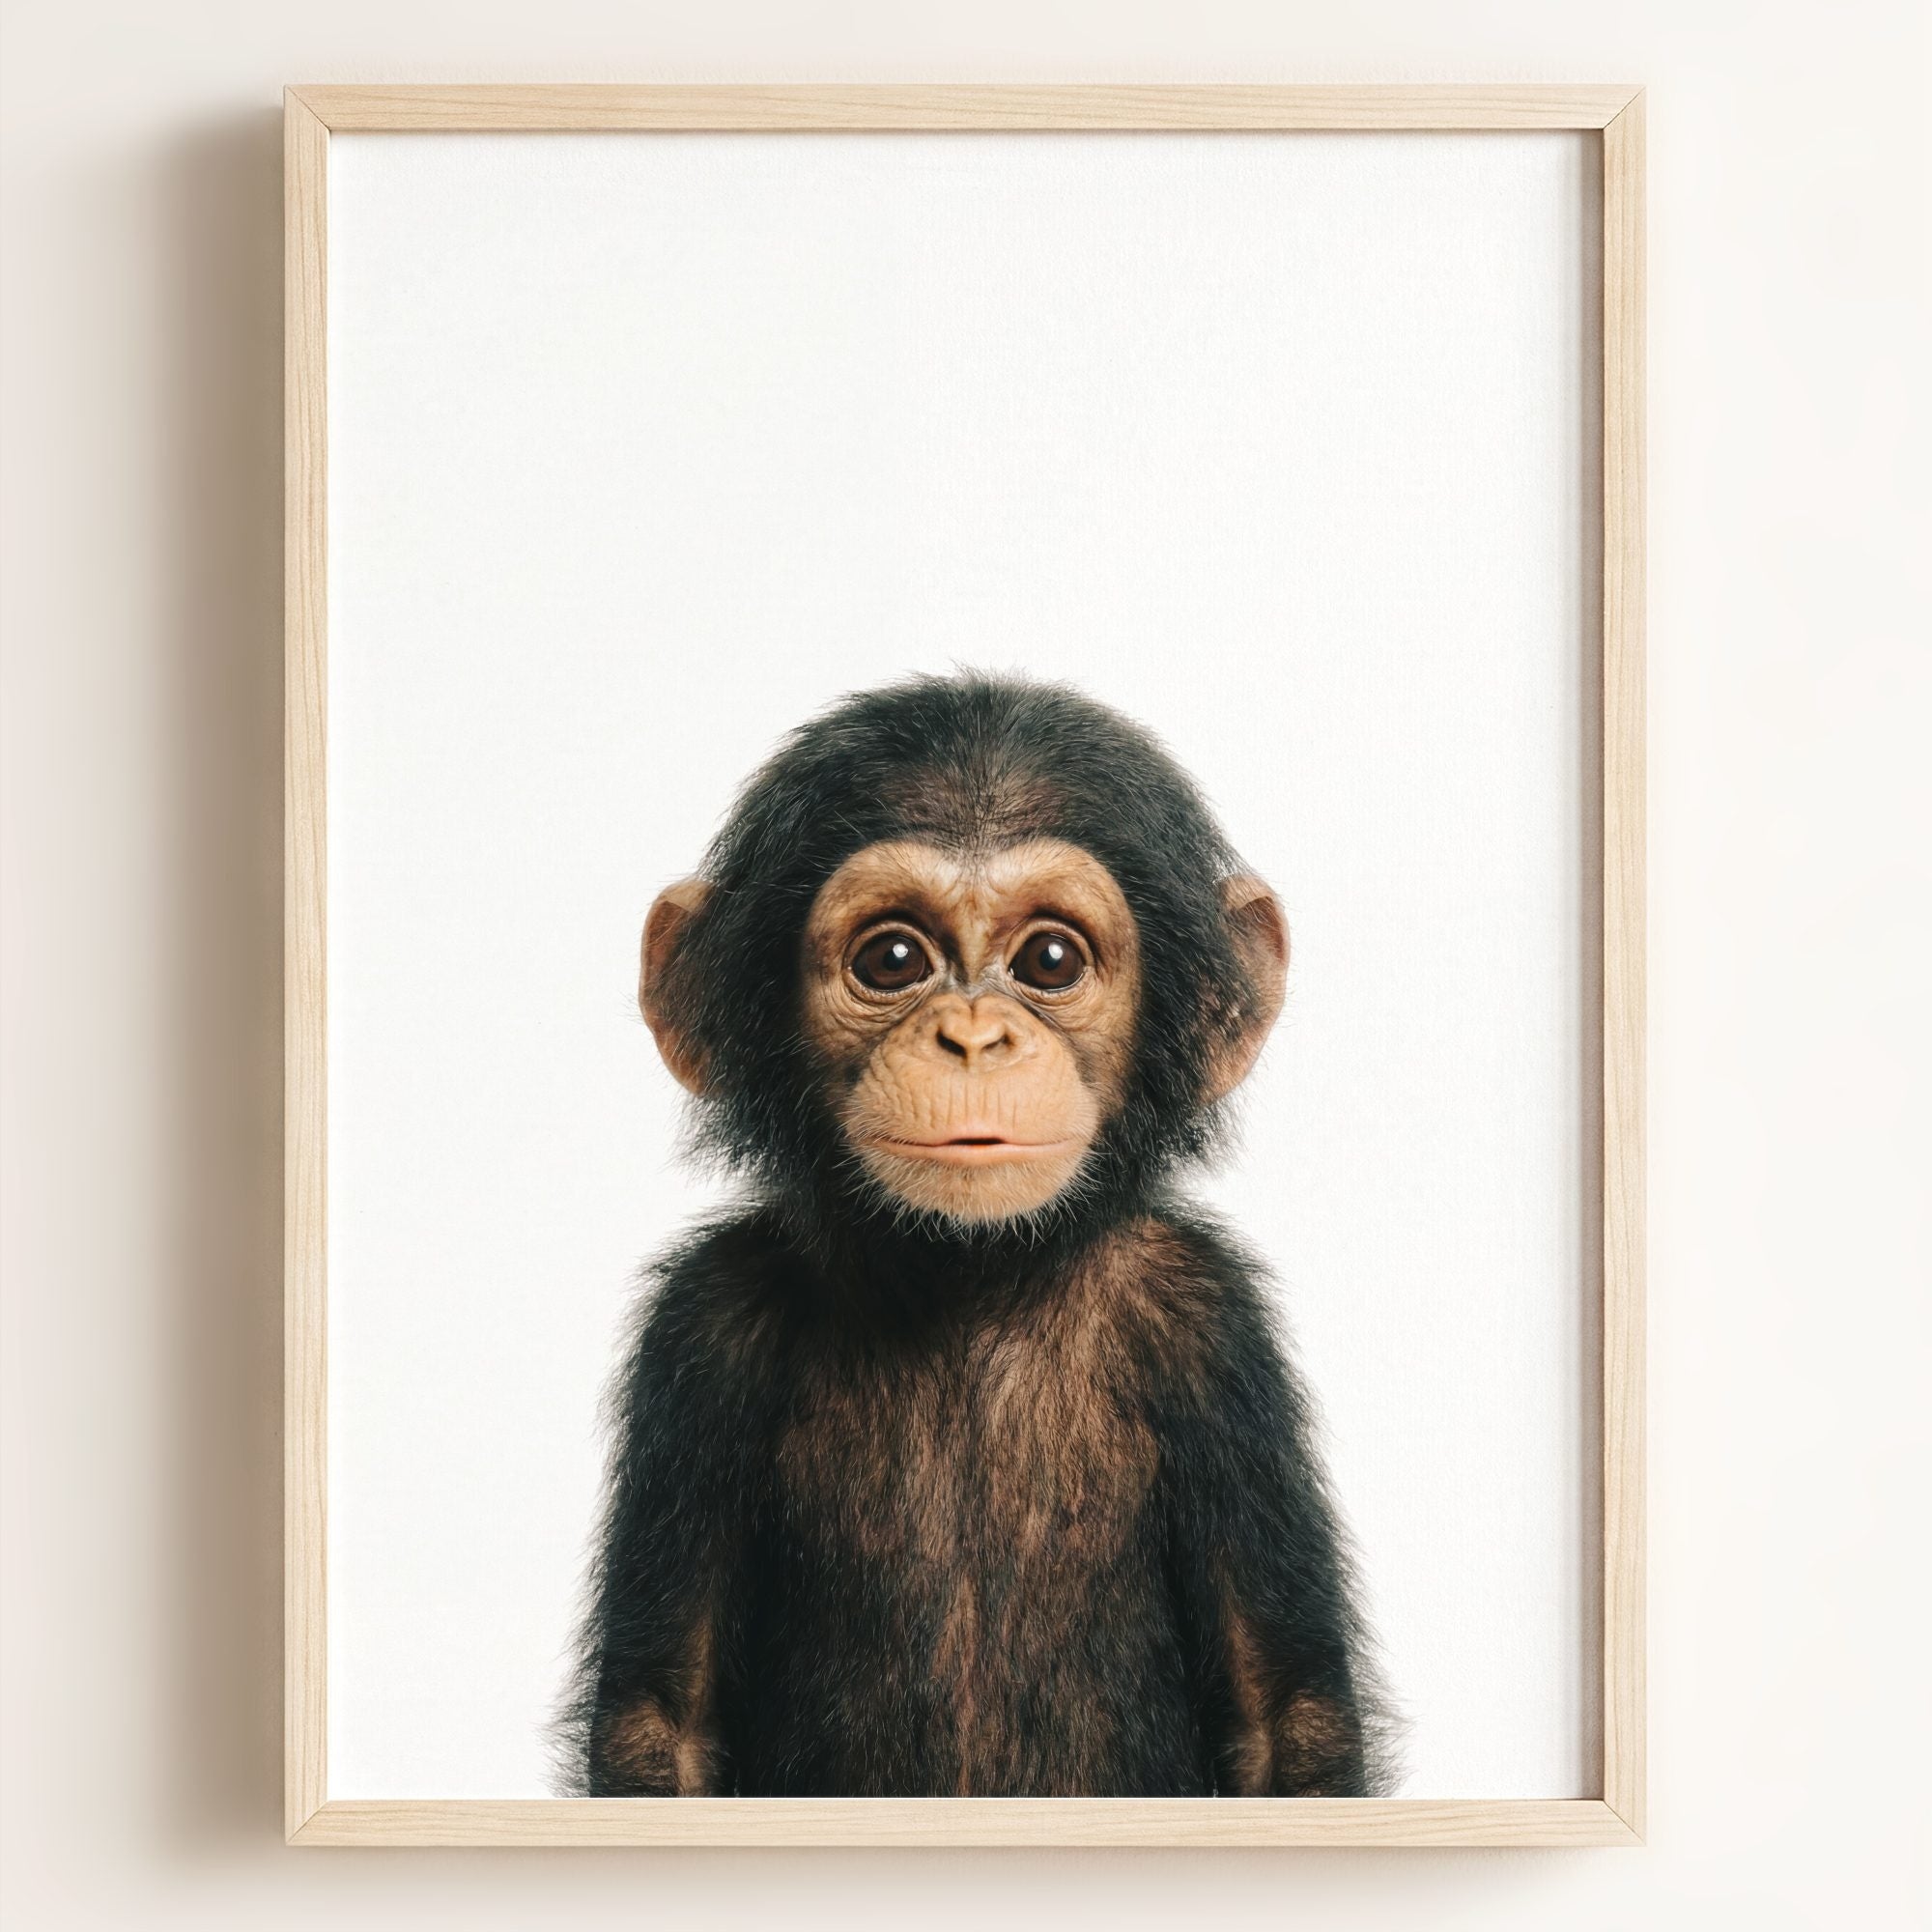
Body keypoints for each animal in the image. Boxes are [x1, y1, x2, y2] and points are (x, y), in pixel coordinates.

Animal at [561, 672, 1393, 1798]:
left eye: (1048, 957)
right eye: (891, 959)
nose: (971, 1036)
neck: (969, 1277)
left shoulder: (1211, 1323)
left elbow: (1285, 1717)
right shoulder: (703, 1326)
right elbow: (662, 1718)